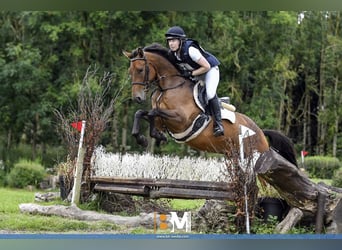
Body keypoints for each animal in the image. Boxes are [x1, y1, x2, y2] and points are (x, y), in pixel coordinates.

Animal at [123, 44, 296, 167]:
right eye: (130, 72)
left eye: (140, 70)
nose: (137, 97)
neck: (169, 87)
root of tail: (260, 132)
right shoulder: (163, 118)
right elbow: (142, 113)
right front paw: (143, 138)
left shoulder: (181, 120)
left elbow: (153, 112)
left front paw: (155, 136)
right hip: (233, 156)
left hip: (255, 156)